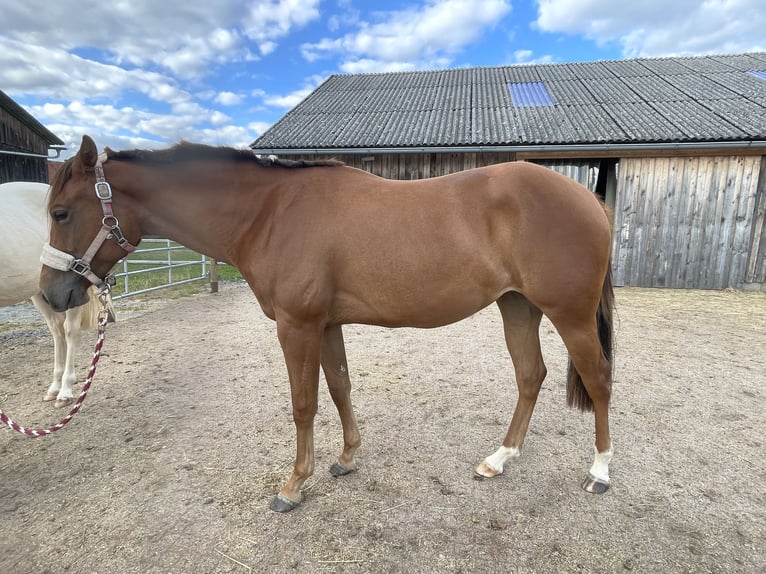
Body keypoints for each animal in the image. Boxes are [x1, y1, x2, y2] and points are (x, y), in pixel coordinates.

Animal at [1, 182, 102, 408]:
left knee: (70, 331)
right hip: (42, 292)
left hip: (71, 293)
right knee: (57, 330)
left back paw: (65, 390)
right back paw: (55, 387)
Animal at [40, 135, 615, 512]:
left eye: (62, 212)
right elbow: (339, 387)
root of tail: (588, 197)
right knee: (530, 376)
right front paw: (346, 458)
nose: (52, 293)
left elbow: (304, 403)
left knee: (599, 379)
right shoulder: (327, 325)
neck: (270, 212)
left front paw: (294, 485)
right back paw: (500, 457)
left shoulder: (297, 325)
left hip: (568, 313)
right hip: (518, 306)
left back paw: (600, 472)